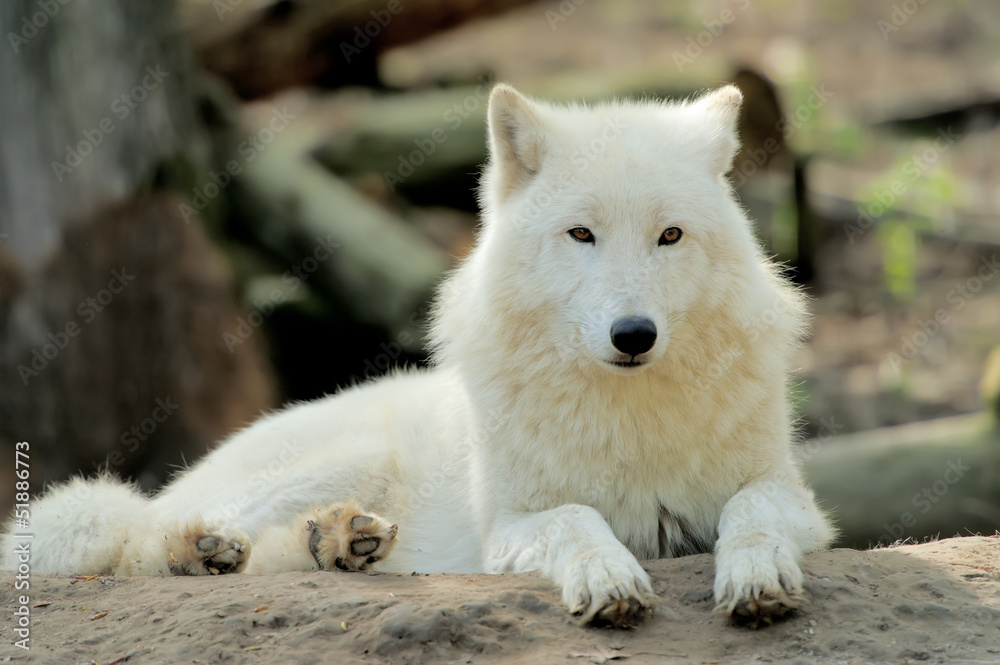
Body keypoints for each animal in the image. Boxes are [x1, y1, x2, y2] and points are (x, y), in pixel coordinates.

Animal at [3, 84, 833, 628]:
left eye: (670, 236)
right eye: (581, 234)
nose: (635, 334)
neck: (630, 418)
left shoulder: (792, 495)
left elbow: (751, 509)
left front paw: (758, 572)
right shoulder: (510, 524)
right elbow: (575, 517)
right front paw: (607, 576)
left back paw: (341, 540)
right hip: (332, 459)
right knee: (133, 538)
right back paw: (203, 548)